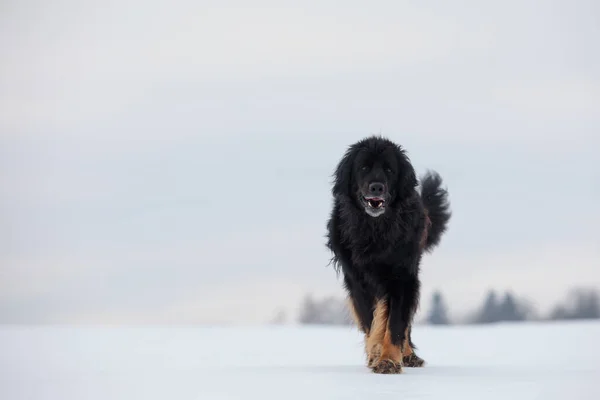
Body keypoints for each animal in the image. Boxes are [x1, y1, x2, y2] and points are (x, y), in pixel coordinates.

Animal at [328, 136, 450, 374]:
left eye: (389, 169)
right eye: (363, 167)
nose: (376, 186)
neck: (376, 229)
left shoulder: (401, 277)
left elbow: (394, 323)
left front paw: (389, 360)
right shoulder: (358, 281)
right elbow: (372, 319)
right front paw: (376, 352)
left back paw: (409, 355)